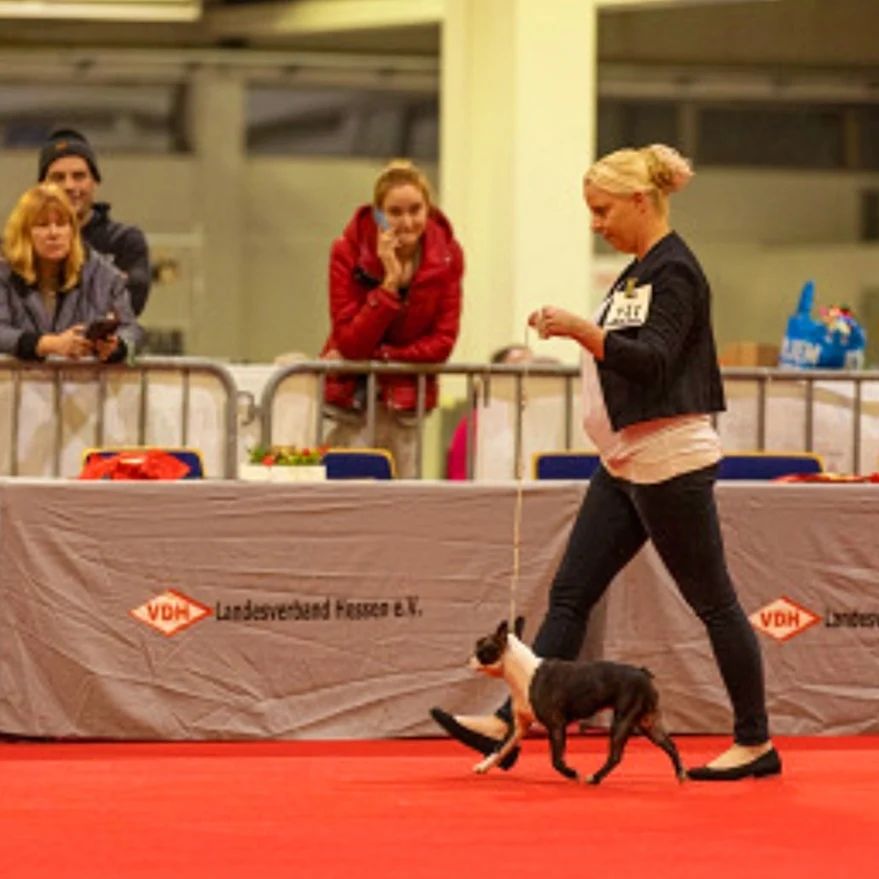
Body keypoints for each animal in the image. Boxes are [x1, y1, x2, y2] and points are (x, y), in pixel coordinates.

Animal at [468, 617, 686, 784]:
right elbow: (500, 748)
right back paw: (681, 774)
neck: (522, 673)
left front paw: (571, 773)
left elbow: (556, 760)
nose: (469, 659)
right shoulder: (519, 727)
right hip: (647, 722)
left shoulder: (556, 724)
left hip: (623, 720)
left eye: (481, 649)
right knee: (669, 744)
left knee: (615, 756)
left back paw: (595, 778)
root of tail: (643, 673)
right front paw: (483, 766)